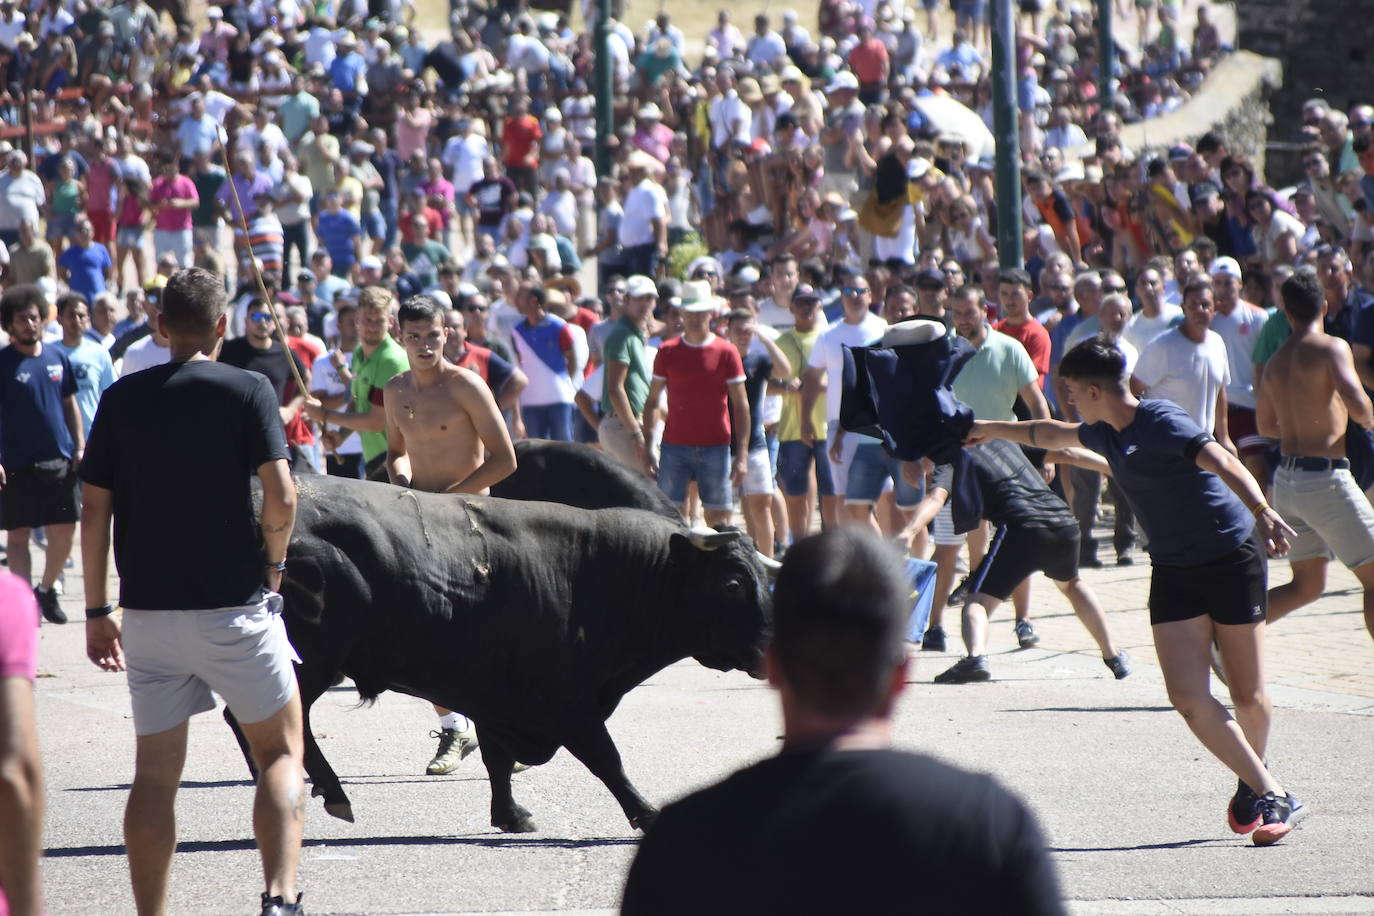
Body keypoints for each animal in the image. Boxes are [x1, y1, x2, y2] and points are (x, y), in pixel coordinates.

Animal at [234, 447, 774, 834]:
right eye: (733, 584)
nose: (771, 649)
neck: (596, 572)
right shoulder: (567, 702)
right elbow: (607, 759)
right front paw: (647, 813)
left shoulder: (495, 695)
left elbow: (497, 757)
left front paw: (510, 815)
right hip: (309, 661)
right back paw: (327, 791)